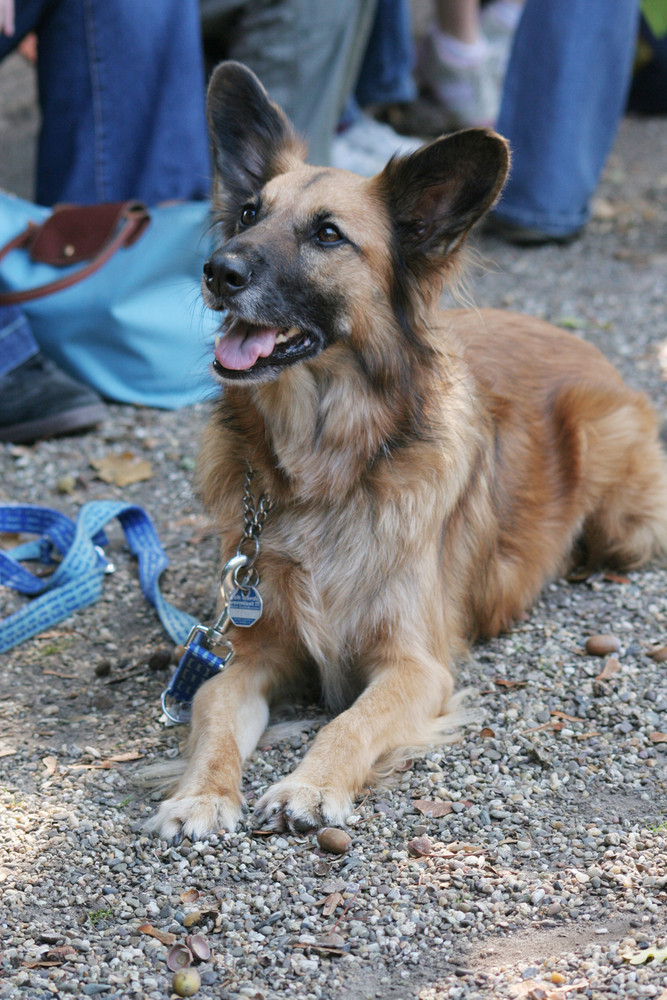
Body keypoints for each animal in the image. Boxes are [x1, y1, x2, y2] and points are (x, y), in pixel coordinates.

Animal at [149, 62, 667, 840]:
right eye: (246, 214)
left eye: (327, 234)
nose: (217, 271)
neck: (327, 466)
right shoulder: (250, 649)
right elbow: (211, 712)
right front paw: (201, 795)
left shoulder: (415, 665)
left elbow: (351, 723)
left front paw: (310, 785)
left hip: (621, 521)